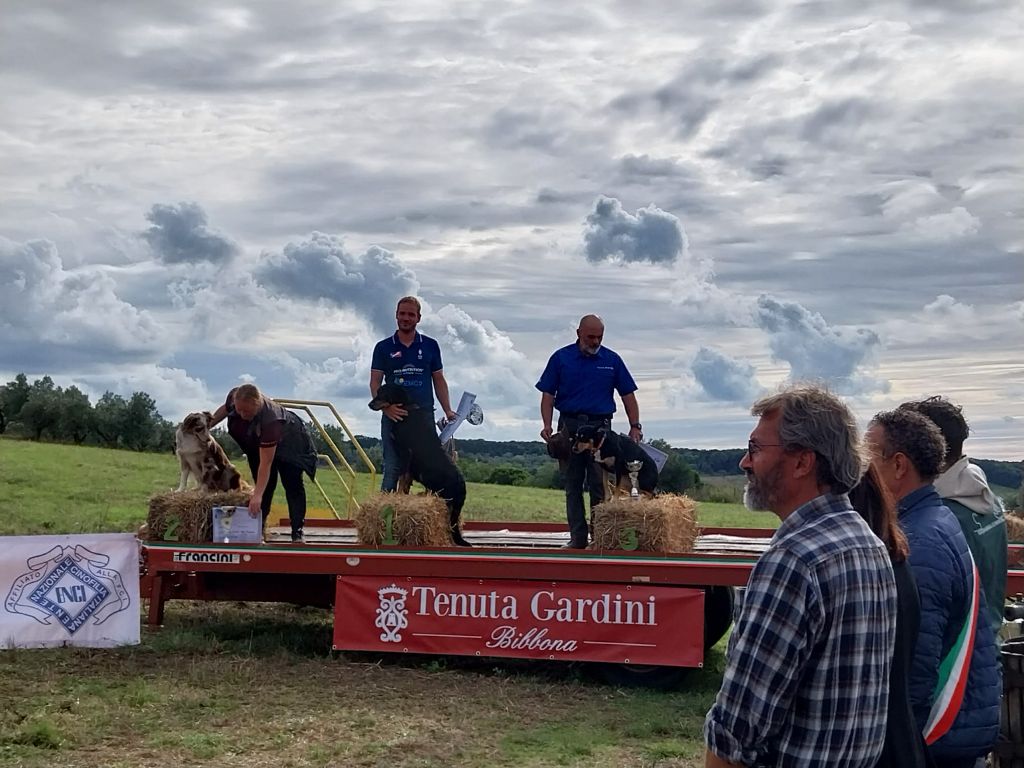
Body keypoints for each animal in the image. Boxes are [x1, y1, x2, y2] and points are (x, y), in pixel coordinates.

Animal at [368, 385, 471, 548]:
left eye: (383, 393)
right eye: (377, 392)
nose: (370, 404)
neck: (406, 409)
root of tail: (462, 487)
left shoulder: (406, 453)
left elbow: (402, 478)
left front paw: (399, 496)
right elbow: (405, 481)